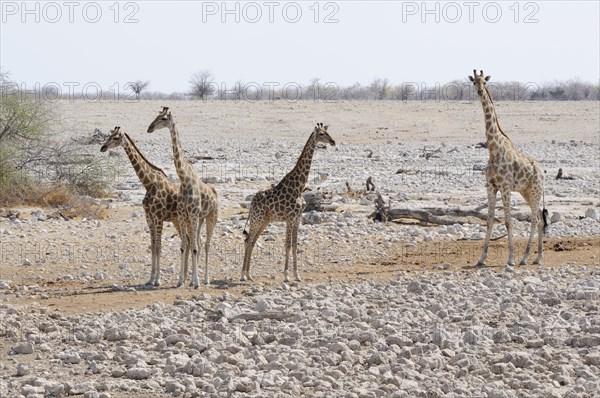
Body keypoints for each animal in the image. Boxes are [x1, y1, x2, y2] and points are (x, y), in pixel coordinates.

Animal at [99, 126, 179, 286]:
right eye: (108, 135)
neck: (149, 184)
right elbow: (153, 246)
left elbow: (159, 246)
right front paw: (151, 279)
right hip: (178, 220)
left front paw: (158, 280)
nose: (102, 148)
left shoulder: (158, 218)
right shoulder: (149, 218)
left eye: (115, 137)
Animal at [146, 107, 219, 288]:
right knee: (197, 242)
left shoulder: (191, 215)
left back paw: (205, 279)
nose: (149, 128)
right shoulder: (182, 215)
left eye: (164, 118)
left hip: (211, 217)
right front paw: (181, 280)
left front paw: (196, 282)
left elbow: (193, 247)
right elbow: (184, 246)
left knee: (206, 245)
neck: (184, 179)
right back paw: (193, 278)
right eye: (156, 116)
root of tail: (215, 193)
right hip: (199, 218)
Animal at [240, 123, 336, 282]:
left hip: (264, 221)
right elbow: (288, 245)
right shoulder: (290, 218)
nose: (333, 142)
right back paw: (242, 275)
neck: (299, 186)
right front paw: (286, 275)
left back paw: (249, 275)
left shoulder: (297, 218)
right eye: (321, 134)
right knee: (248, 240)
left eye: (327, 132)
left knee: (251, 241)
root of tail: (252, 203)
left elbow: (295, 245)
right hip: (257, 219)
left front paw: (297, 275)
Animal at [468, 70, 548, 268]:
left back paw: (525, 258)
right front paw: (481, 259)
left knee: (535, 220)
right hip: (526, 192)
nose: (480, 91)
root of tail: (542, 172)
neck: (493, 149)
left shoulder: (505, 187)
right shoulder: (491, 186)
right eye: (474, 82)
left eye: (484, 82)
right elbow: (489, 220)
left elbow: (508, 221)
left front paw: (510, 259)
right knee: (539, 220)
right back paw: (537, 258)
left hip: (535, 191)